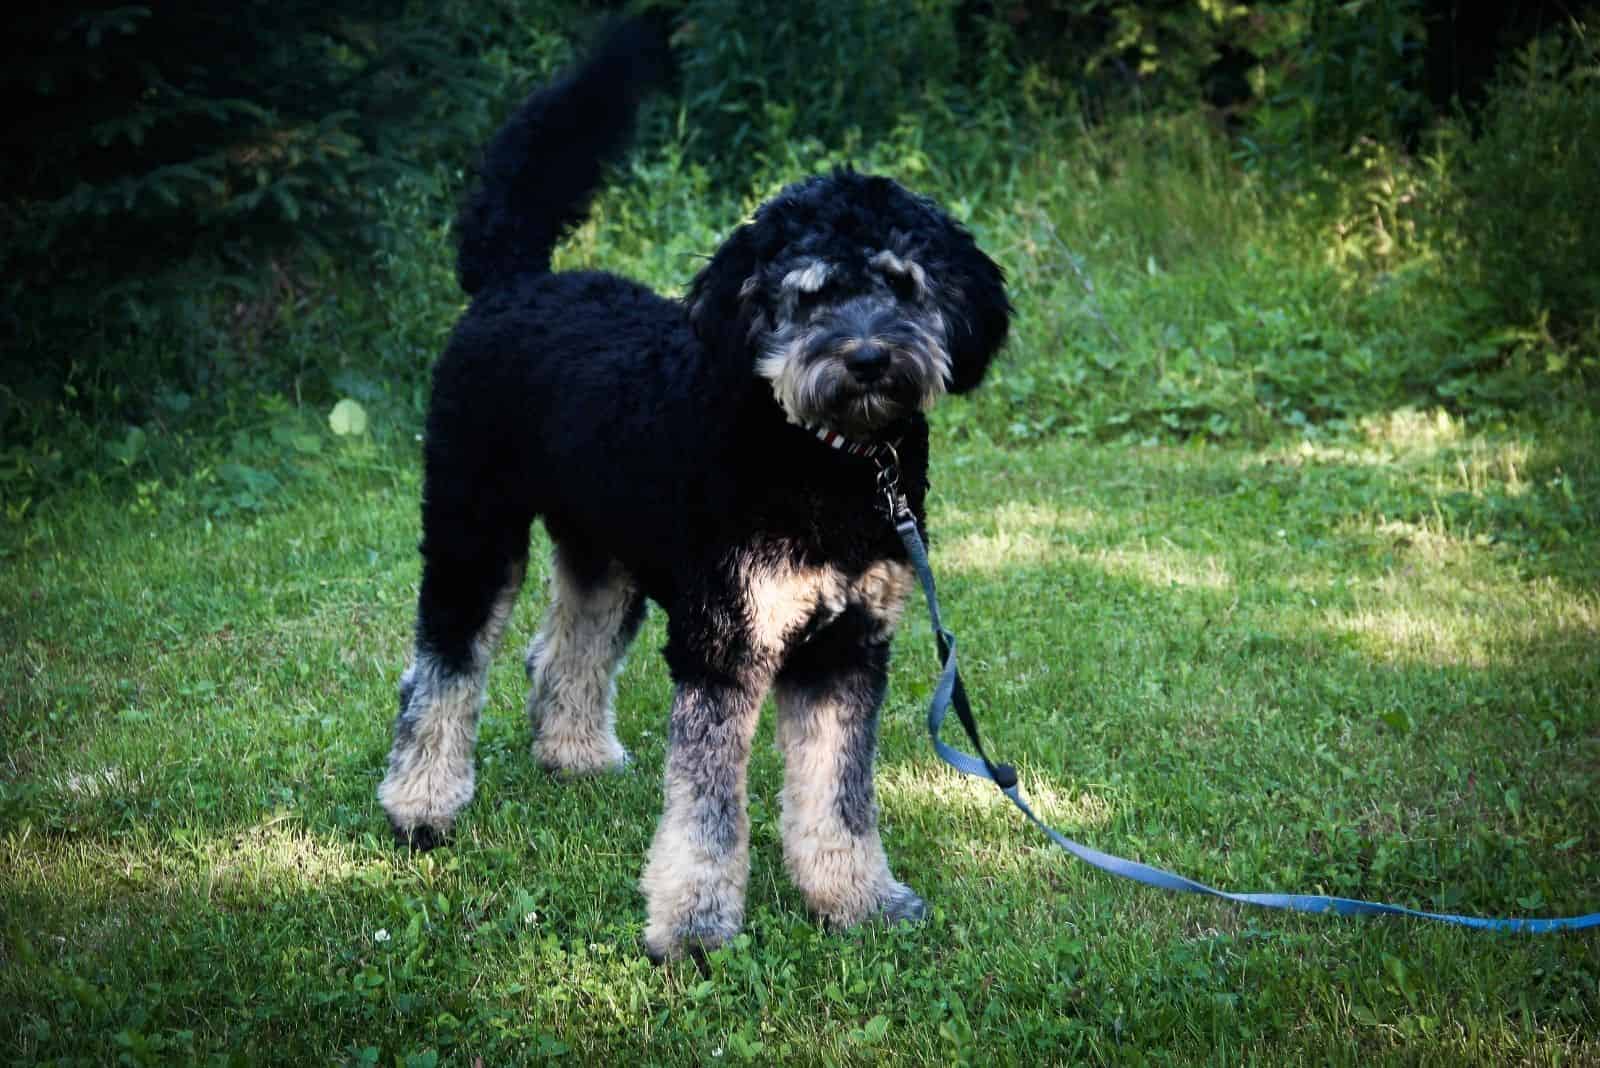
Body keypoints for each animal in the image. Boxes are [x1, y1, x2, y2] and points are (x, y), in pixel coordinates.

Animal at [379, 20, 1004, 965]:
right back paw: (421, 803)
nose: (866, 358)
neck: (824, 461)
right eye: (810, 292)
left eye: (904, 282)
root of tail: (516, 281)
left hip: (606, 556)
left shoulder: (846, 647)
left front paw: (856, 899)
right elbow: (708, 809)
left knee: (564, 652)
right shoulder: (724, 643)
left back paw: (574, 754)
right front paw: (697, 926)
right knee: (443, 668)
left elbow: (838, 795)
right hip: (472, 531)